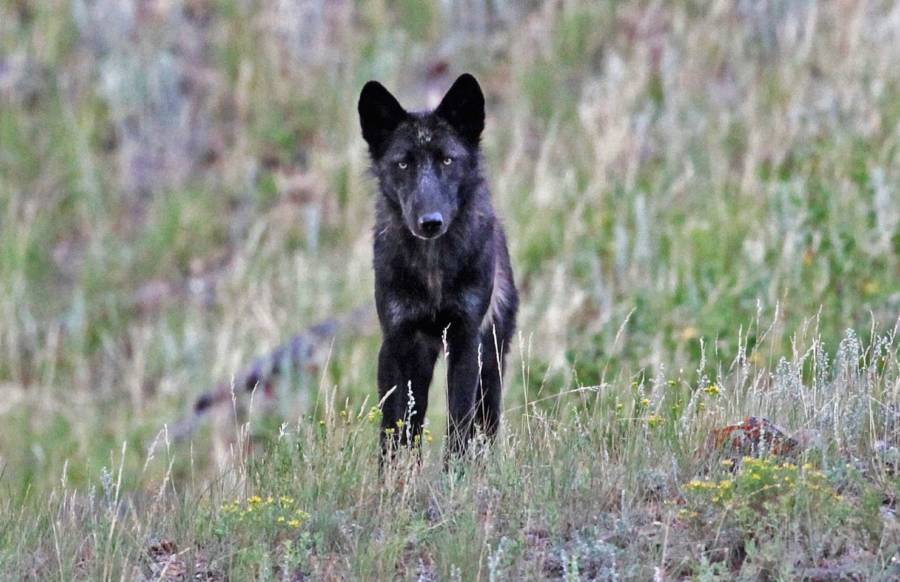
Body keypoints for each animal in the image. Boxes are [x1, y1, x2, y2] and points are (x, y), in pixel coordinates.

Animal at [358, 73, 518, 460]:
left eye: (447, 160)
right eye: (403, 164)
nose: (430, 222)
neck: (433, 272)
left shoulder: (465, 339)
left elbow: (458, 424)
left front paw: (455, 472)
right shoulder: (398, 341)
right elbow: (394, 429)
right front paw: (393, 476)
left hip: (491, 361)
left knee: (484, 424)